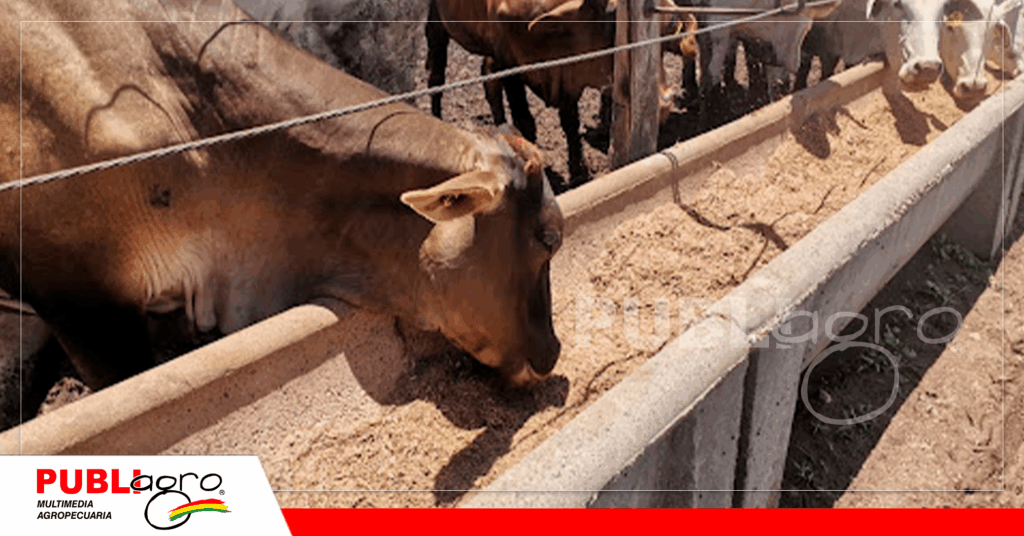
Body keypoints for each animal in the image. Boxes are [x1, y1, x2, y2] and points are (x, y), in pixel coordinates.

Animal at [426, 0, 681, 181]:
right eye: (614, 35)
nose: (664, 103)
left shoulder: (568, 76)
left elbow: (570, 123)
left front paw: (579, 170)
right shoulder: (510, 66)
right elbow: (525, 121)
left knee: (489, 81)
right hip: (437, 24)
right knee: (436, 77)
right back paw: (436, 119)